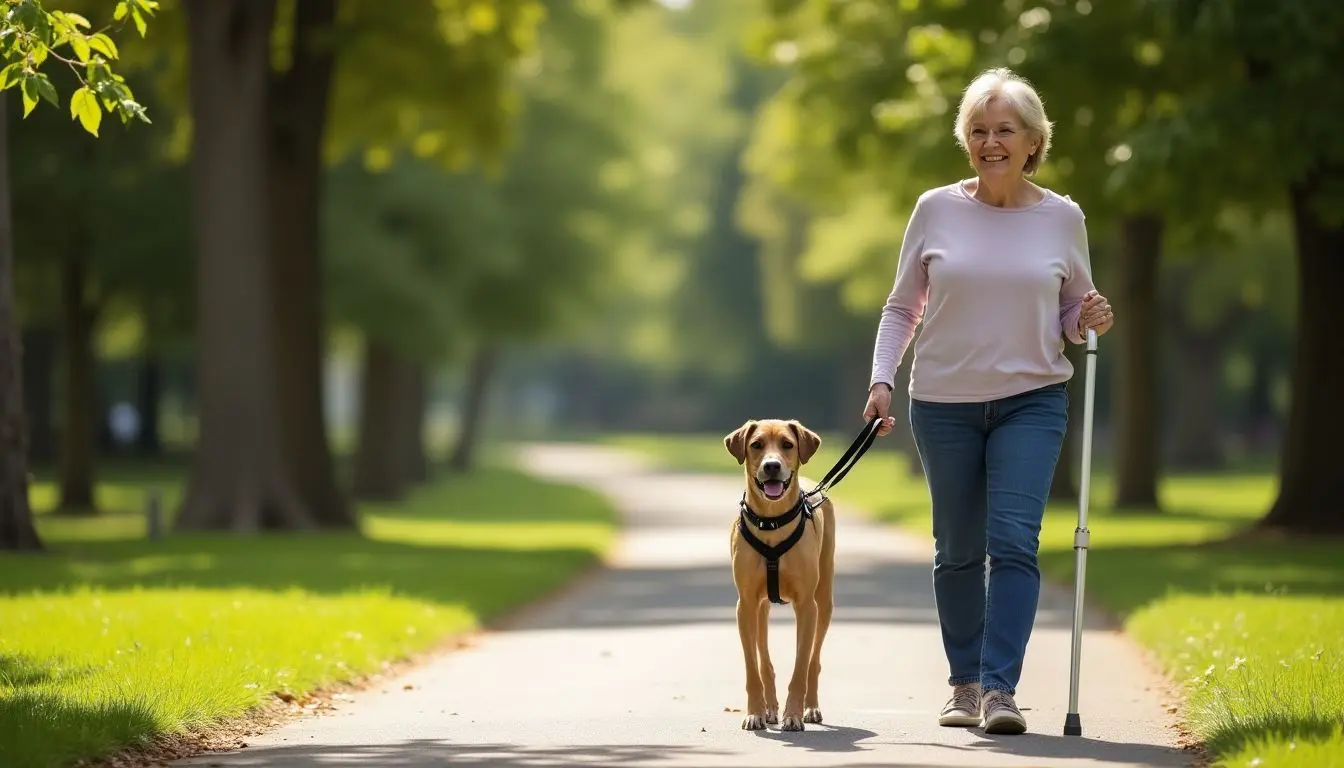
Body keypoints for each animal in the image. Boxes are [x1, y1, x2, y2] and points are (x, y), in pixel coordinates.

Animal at [725, 416, 827, 731]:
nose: (772, 465)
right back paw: (769, 708)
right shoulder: (745, 604)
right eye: (756, 444)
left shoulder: (807, 605)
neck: (772, 521)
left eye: (787, 444)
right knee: (764, 659)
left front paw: (793, 714)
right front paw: (755, 713)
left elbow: (801, 665)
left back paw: (811, 707)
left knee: (814, 660)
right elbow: (753, 666)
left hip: (826, 601)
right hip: (760, 608)